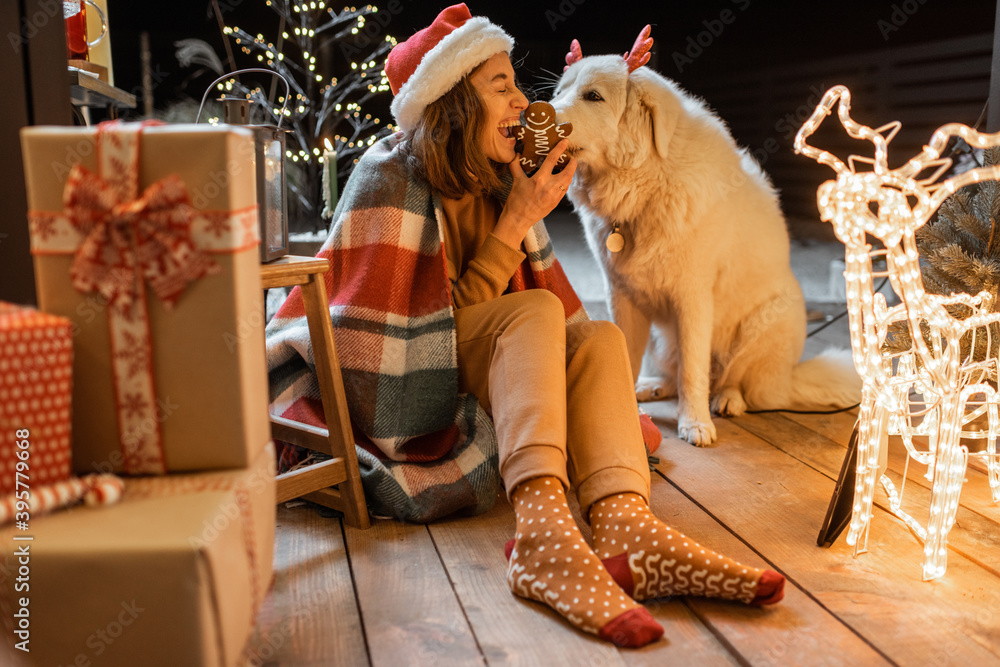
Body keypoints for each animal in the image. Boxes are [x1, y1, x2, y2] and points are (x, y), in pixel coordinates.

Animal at [548, 32, 860, 448]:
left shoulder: (693, 297)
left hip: (766, 323)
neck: (647, 181)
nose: (531, 113)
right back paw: (650, 387)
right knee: (673, 374)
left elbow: (692, 369)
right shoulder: (623, 295)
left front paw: (694, 424)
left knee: (737, 384)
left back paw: (728, 400)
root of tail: (789, 378)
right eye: (559, 92)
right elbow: (631, 356)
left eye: (593, 96)